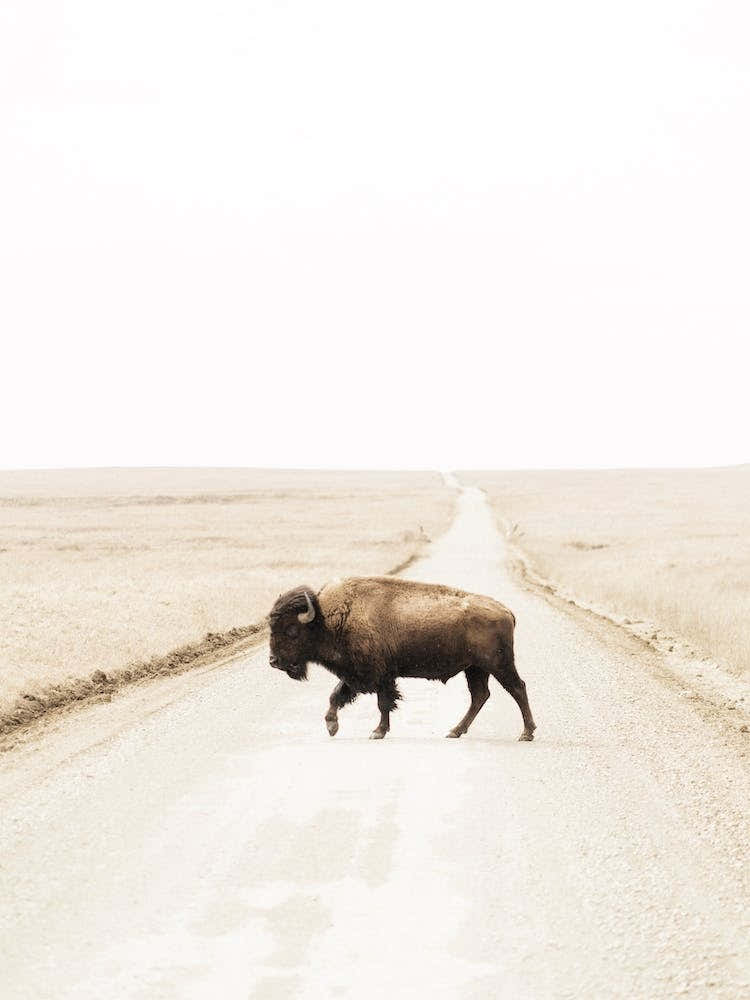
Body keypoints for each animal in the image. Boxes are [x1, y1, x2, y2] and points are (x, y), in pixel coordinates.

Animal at [269, 576, 536, 741]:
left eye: (291, 630)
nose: (273, 661)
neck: (328, 618)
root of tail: (506, 611)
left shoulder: (379, 676)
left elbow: (383, 703)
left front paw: (377, 732)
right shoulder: (357, 674)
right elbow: (336, 695)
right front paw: (332, 726)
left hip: (498, 665)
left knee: (517, 688)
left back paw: (526, 733)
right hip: (475, 669)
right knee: (480, 696)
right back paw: (454, 731)